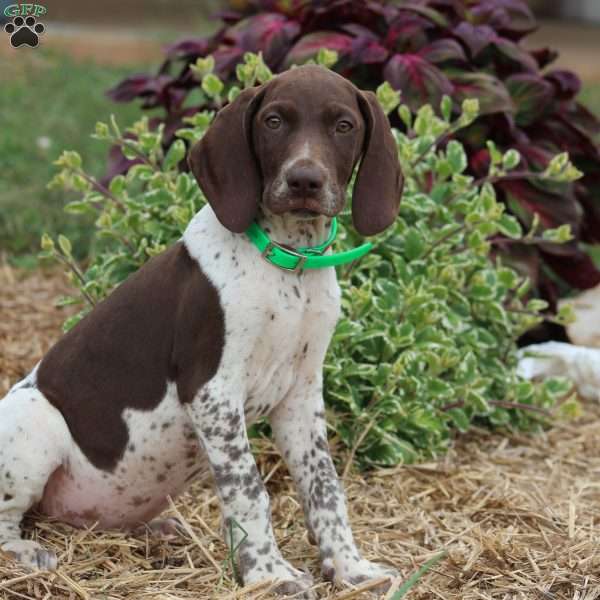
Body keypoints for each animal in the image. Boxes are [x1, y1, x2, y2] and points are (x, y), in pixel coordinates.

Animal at [1, 65, 404, 596]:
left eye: (344, 126)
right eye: (274, 121)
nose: (304, 180)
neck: (287, 265)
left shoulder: (300, 396)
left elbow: (324, 486)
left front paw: (351, 568)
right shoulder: (212, 393)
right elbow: (249, 491)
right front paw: (269, 574)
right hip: (34, 420)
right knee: (7, 521)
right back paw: (28, 552)